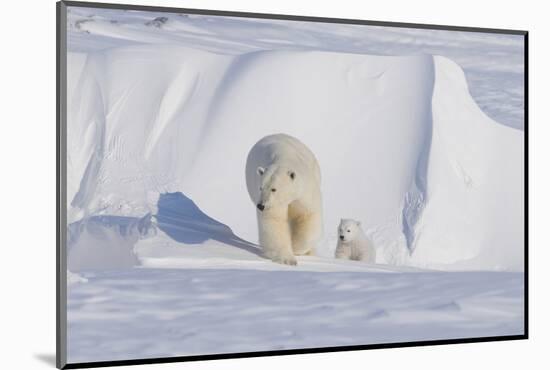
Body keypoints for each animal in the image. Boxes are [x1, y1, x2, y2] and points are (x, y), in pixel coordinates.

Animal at [246, 134, 324, 264]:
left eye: (274, 189)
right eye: (260, 188)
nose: (261, 205)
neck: (284, 157)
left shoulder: (305, 191)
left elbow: (307, 215)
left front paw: (296, 248)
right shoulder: (275, 203)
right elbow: (275, 221)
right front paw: (288, 259)